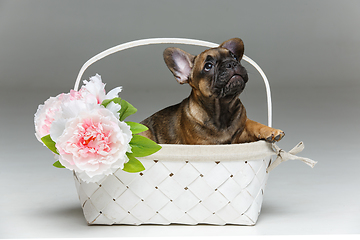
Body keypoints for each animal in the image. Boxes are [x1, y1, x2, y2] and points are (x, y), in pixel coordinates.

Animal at [141, 38, 284, 144]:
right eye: (208, 66)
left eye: (234, 57)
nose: (231, 63)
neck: (222, 109)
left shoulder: (241, 132)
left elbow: (253, 124)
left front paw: (271, 131)